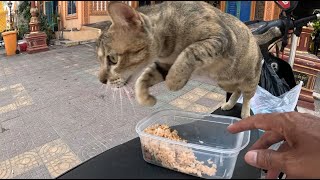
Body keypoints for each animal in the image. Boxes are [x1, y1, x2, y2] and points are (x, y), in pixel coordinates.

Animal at [96, 2, 282, 119]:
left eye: (112, 59)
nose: (102, 80)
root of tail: (254, 36)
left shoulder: (219, 39)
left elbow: (190, 51)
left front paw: (174, 82)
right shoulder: (164, 65)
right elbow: (143, 78)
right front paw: (145, 98)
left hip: (249, 80)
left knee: (248, 96)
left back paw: (245, 112)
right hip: (226, 82)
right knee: (237, 91)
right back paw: (229, 104)